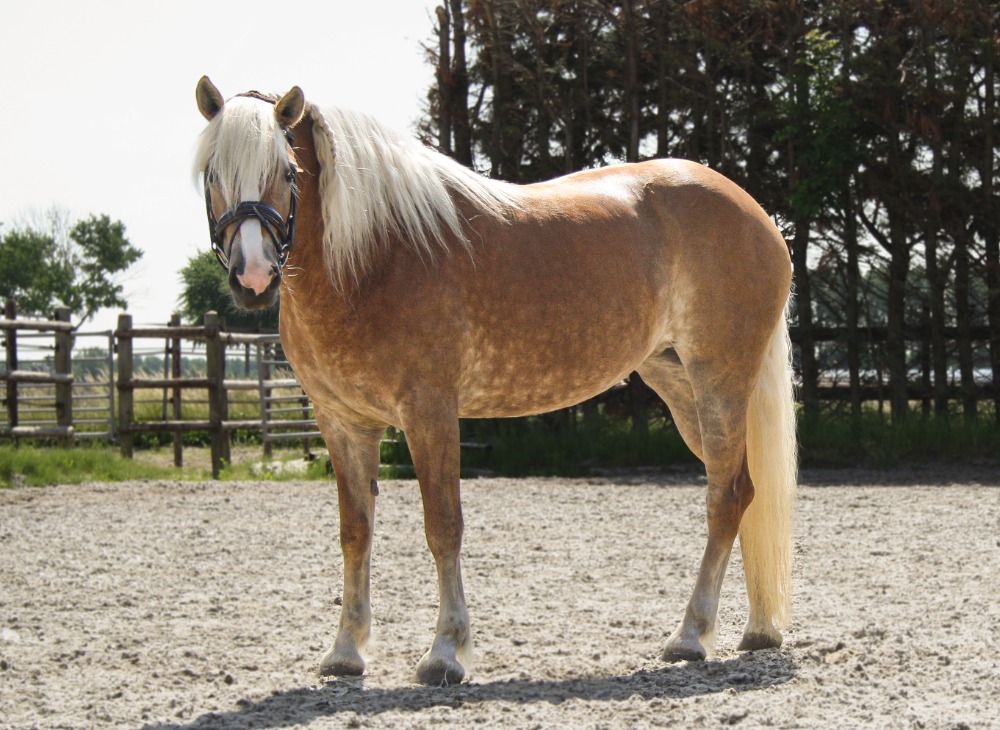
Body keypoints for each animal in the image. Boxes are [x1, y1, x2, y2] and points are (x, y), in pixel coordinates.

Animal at [193, 76, 797, 686]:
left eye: (287, 170)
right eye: (212, 172)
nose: (252, 277)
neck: (372, 257)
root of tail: (759, 216)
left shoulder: (430, 412)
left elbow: (443, 526)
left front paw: (445, 652)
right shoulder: (343, 423)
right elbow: (355, 532)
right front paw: (345, 651)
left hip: (719, 382)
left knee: (725, 498)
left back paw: (691, 635)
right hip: (679, 386)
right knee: (745, 492)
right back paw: (758, 629)